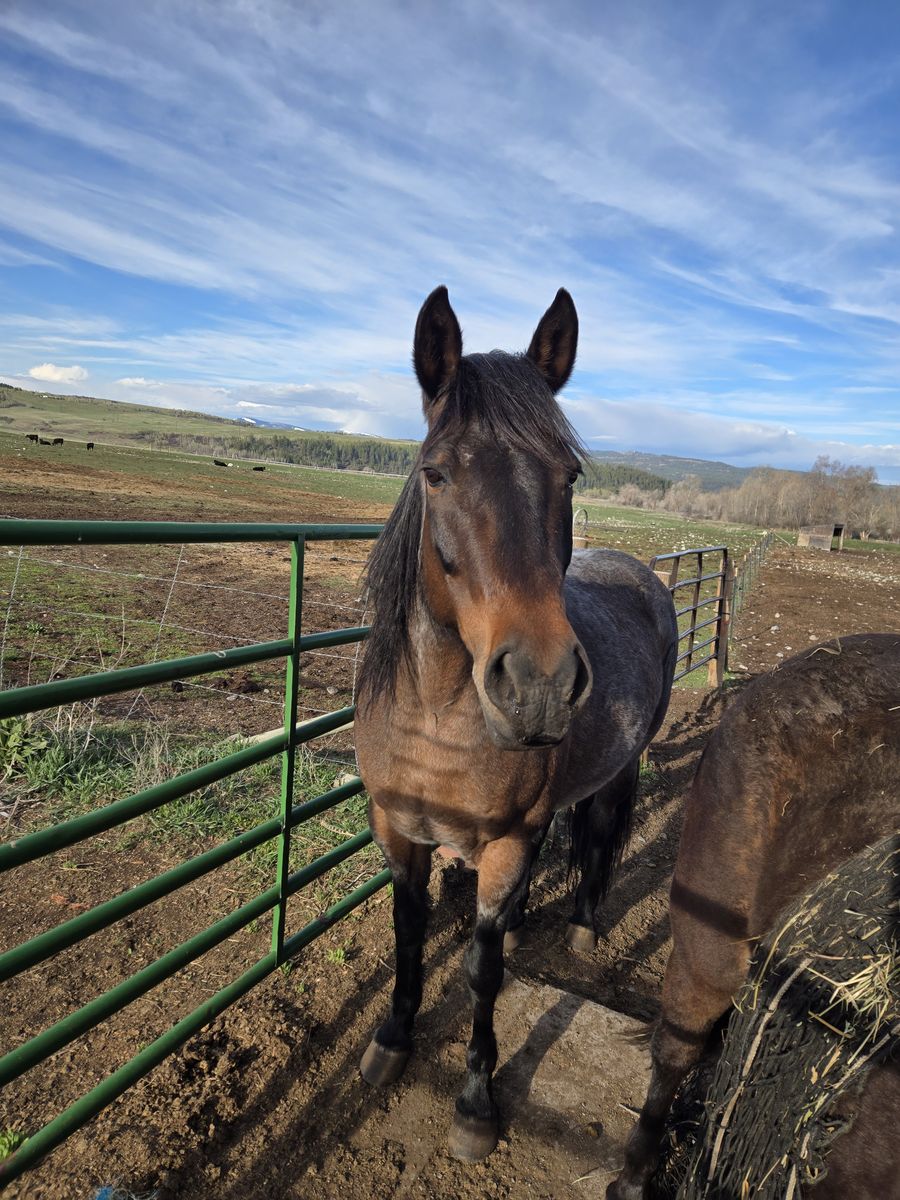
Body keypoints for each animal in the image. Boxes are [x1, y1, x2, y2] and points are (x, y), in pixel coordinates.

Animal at [354, 287, 678, 1161]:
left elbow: (482, 971)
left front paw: (475, 1102)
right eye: (435, 472)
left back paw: (583, 927)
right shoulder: (398, 829)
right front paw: (391, 1042)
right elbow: (407, 933)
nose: (538, 685)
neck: (436, 720)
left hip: (620, 769)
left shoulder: (503, 843)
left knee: (599, 833)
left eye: (569, 475)